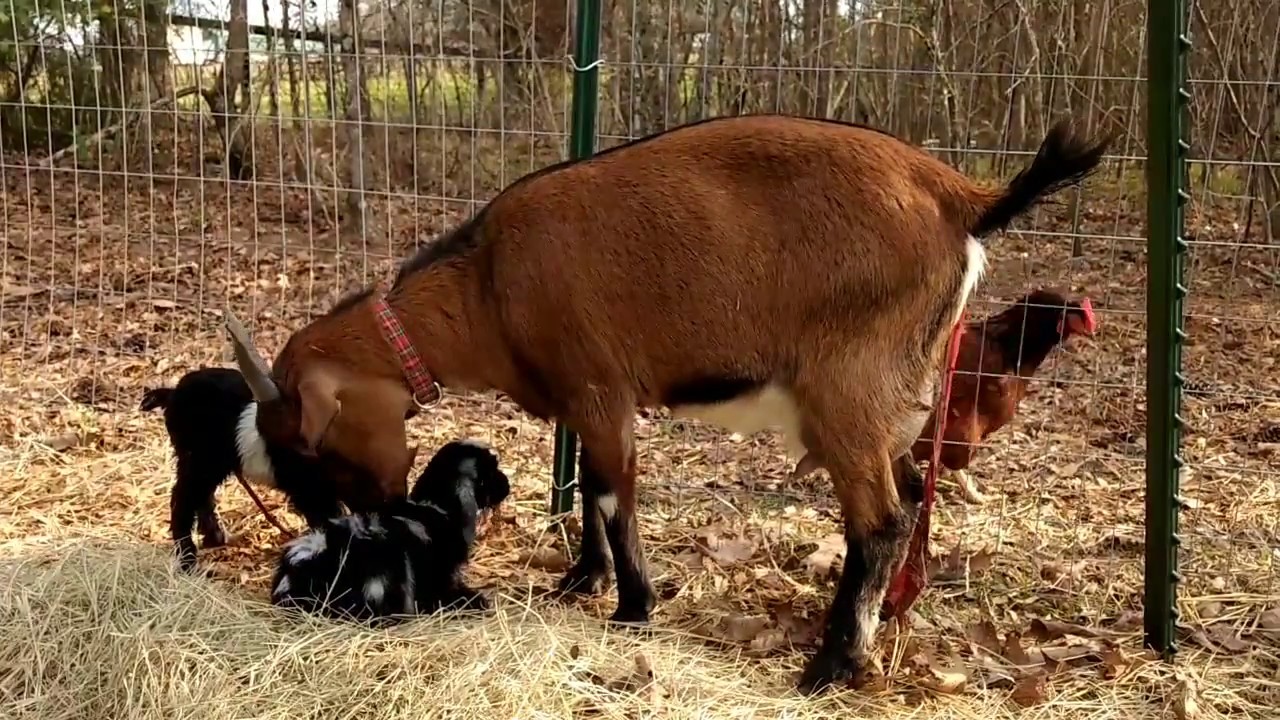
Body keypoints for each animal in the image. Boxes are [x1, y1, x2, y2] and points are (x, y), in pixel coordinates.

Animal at [140, 367, 354, 572]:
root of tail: (173, 392)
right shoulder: (311, 490)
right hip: (199, 458)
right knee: (183, 499)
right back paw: (188, 561)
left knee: (200, 496)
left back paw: (213, 538)